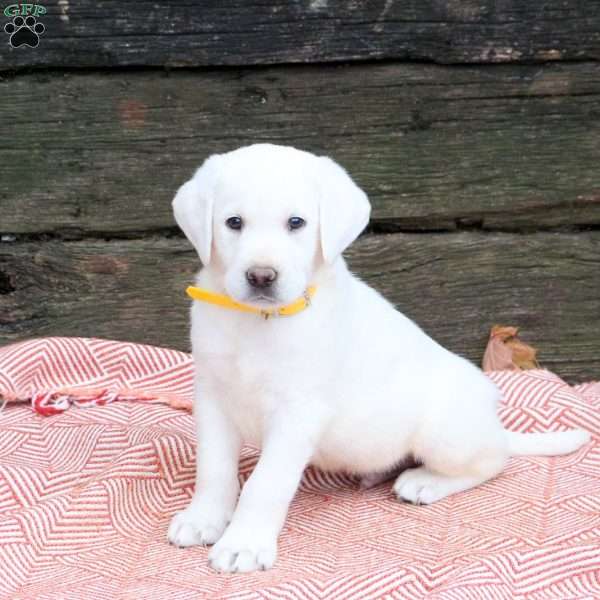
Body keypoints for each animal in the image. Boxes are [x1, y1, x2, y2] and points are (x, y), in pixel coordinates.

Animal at [166, 143, 588, 576]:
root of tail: (494, 425)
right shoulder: (213, 399)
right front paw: (204, 519)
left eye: (296, 223)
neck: (257, 323)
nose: (261, 276)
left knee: (493, 461)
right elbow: (214, 470)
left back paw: (425, 481)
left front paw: (243, 543)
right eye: (233, 223)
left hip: (445, 433)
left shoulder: (297, 413)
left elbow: (265, 483)